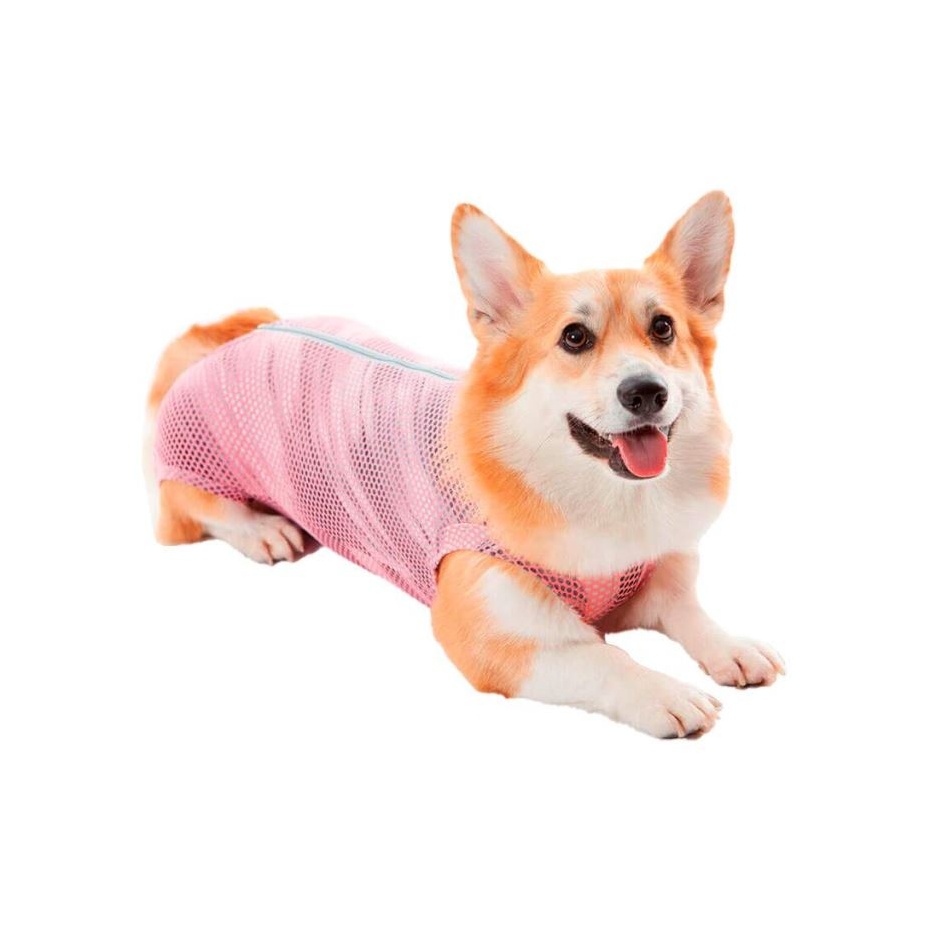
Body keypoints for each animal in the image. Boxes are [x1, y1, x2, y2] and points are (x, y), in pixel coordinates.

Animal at [145, 192, 783, 738]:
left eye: (663, 328)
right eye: (575, 337)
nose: (647, 392)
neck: (596, 494)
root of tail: (241, 332)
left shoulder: (649, 584)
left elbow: (689, 612)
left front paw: (733, 647)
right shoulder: (493, 635)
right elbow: (604, 658)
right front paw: (665, 693)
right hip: (199, 455)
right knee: (183, 500)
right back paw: (263, 528)